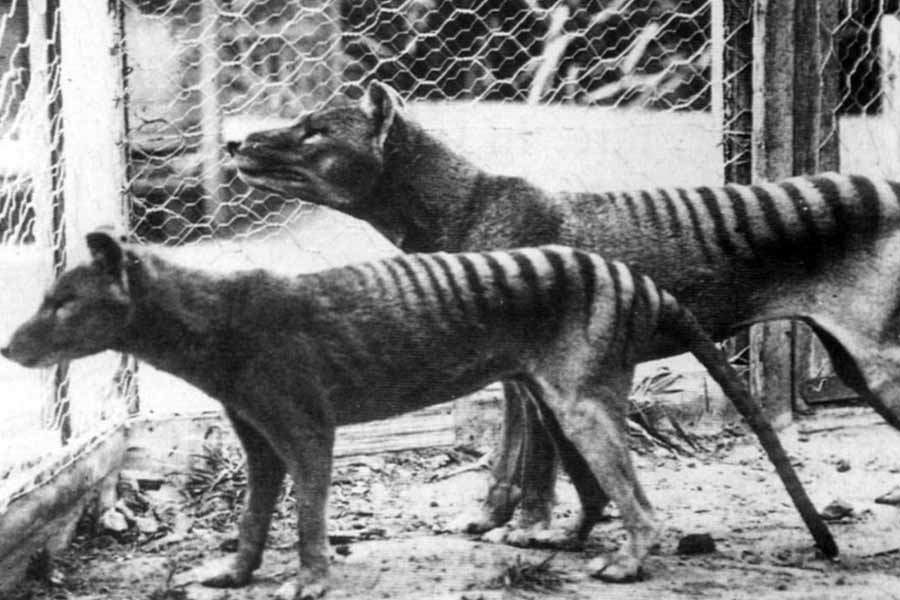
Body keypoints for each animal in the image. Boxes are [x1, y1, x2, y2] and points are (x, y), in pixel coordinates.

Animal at [2, 232, 834, 599]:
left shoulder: (306, 425)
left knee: (640, 500)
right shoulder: (257, 437)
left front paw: (309, 579)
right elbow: (254, 513)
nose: (9, 345)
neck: (216, 317)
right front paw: (235, 573)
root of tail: (637, 279)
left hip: (581, 400)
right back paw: (564, 539)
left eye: (62, 301)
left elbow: (308, 513)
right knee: (601, 490)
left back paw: (629, 561)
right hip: (556, 397)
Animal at [228, 80, 900, 545]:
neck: (468, 206)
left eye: (315, 131)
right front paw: (489, 518)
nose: (235, 142)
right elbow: (510, 454)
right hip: (848, 360)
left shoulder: (536, 366)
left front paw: (529, 527)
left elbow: (536, 459)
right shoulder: (512, 369)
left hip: (878, 362)